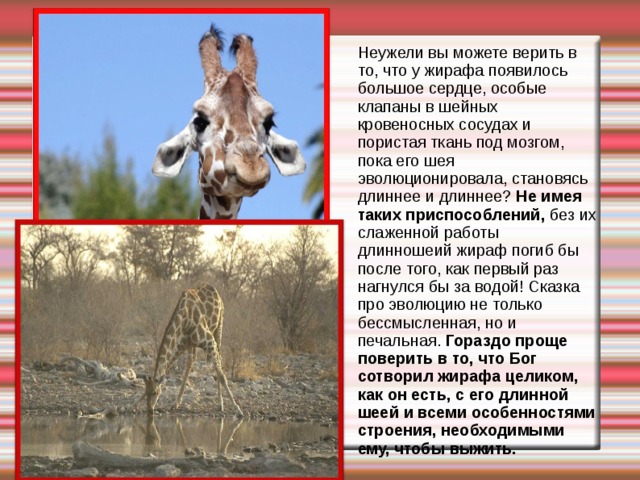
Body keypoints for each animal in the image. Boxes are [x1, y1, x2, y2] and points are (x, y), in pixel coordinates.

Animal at [132, 284, 243, 416]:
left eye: (155, 392)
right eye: (147, 391)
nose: (150, 409)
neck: (184, 317)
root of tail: (214, 290)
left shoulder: (209, 341)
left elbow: (222, 376)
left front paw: (237, 408)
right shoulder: (183, 343)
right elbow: (168, 365)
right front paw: (135, 404)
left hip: (218, 328)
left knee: (218, 363)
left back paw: (220, 404)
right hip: (192, 345)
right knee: (191, 362)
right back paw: (176, 403)